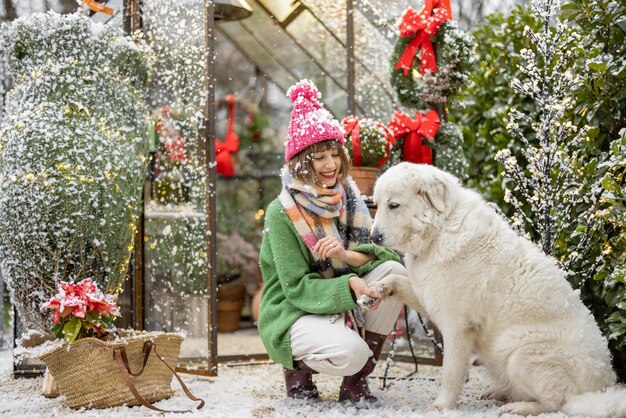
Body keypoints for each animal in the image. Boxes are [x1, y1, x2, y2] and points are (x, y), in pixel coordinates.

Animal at [368, 163, 620, 418]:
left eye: (393, 205)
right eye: (376, 205)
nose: (373, 237)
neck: (440, 229)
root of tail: (601, 388)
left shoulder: (457, 327)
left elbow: (450, 373)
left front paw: (442, 405)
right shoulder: (428, 297)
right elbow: (395, 278)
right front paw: (377, 289)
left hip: (518, 352)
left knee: (557, 403)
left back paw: (518, 407)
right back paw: (501, 393)